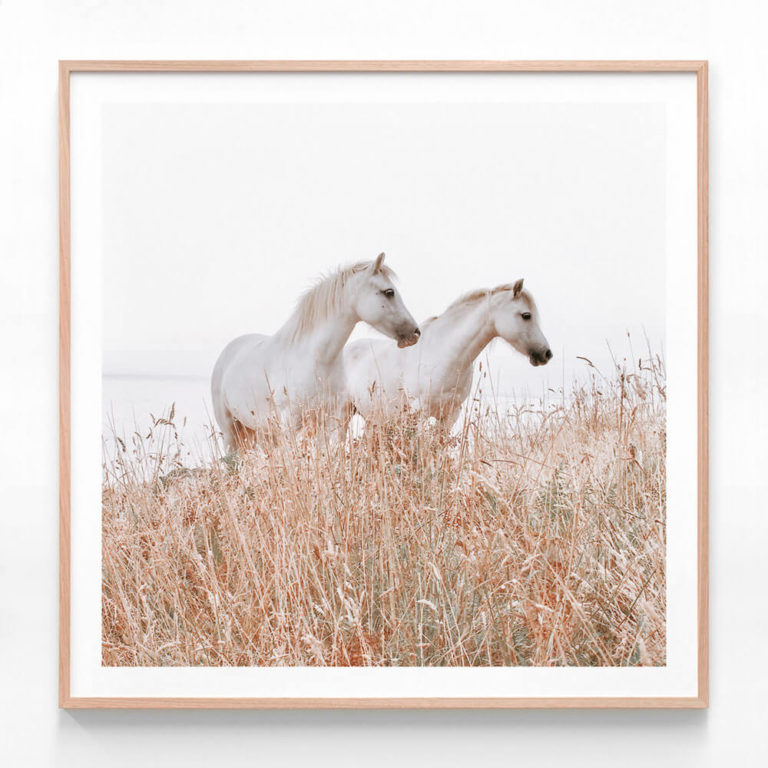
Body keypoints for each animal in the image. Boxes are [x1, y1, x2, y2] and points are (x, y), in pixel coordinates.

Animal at [212, 254, 420, 450]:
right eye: (389, 292)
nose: (415, 332)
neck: (316, 359)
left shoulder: (326, 421)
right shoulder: (289, 425)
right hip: (230, 431)